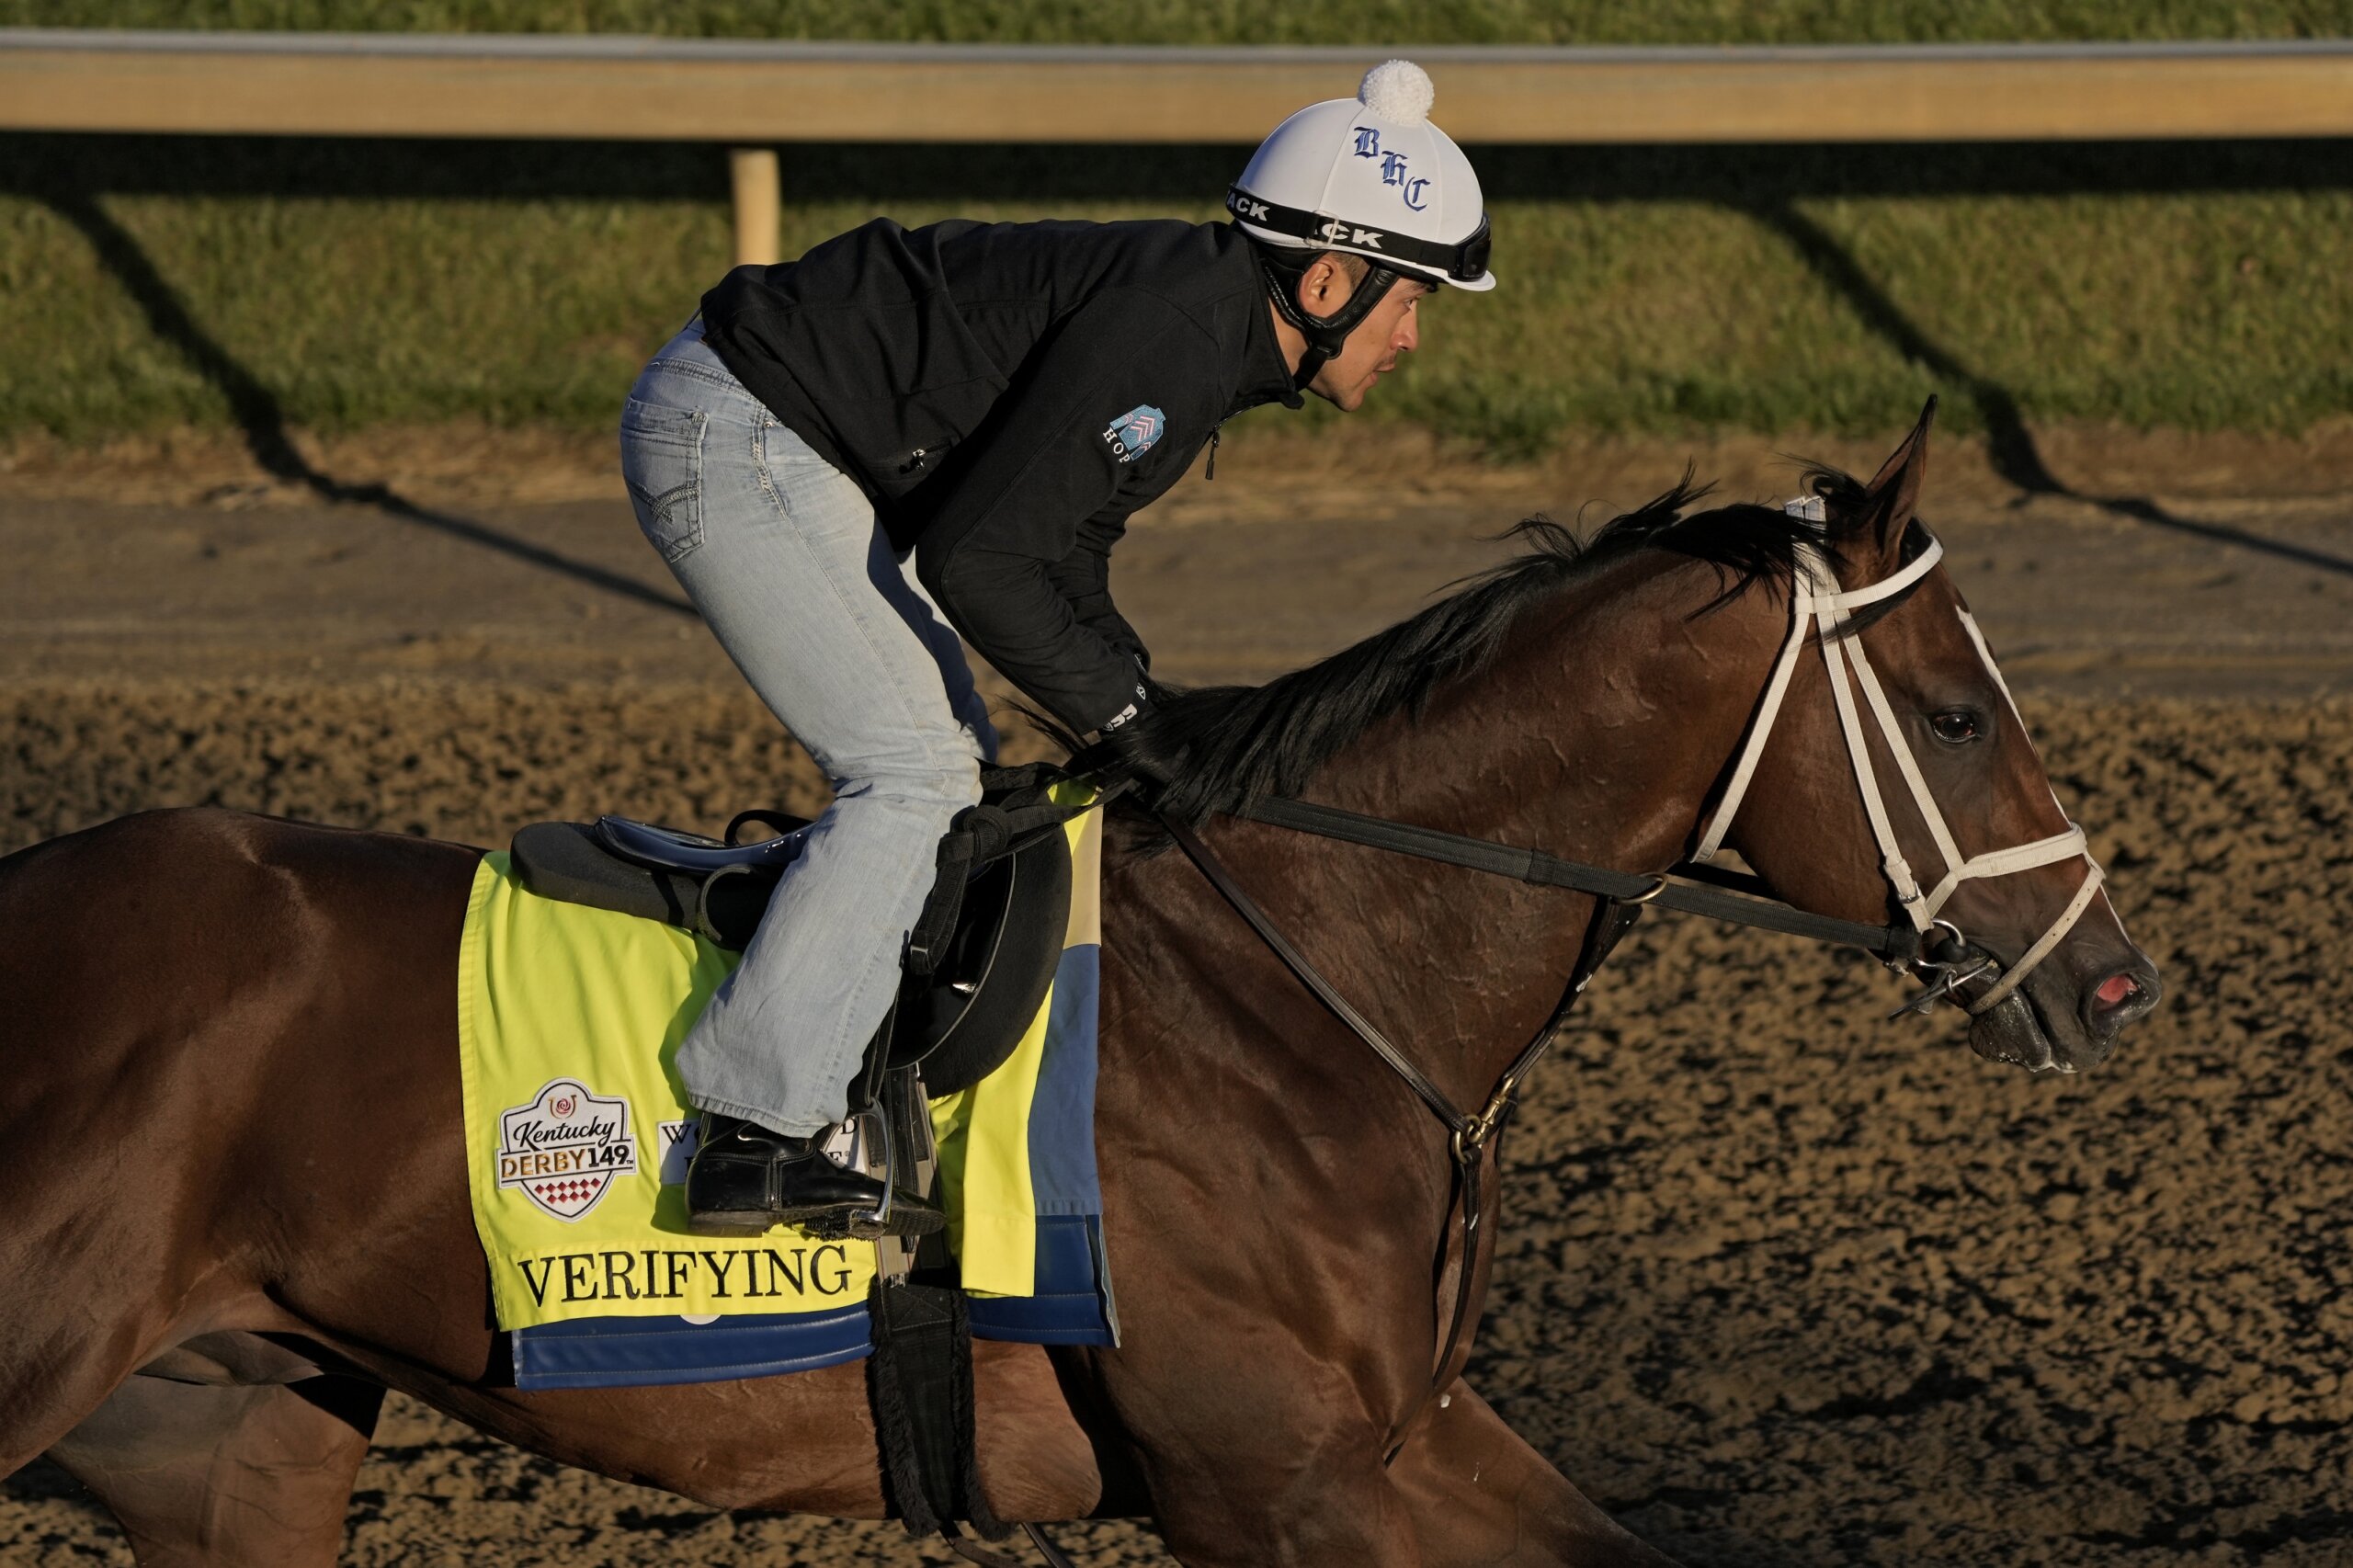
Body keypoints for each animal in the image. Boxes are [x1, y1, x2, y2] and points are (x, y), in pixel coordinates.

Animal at [0, 412, 2154, 1562]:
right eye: (1958, 714)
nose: (2114, 982)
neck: (1313, 982)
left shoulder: (1402, 1439)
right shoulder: (1261, 1483)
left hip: (235, 1432)